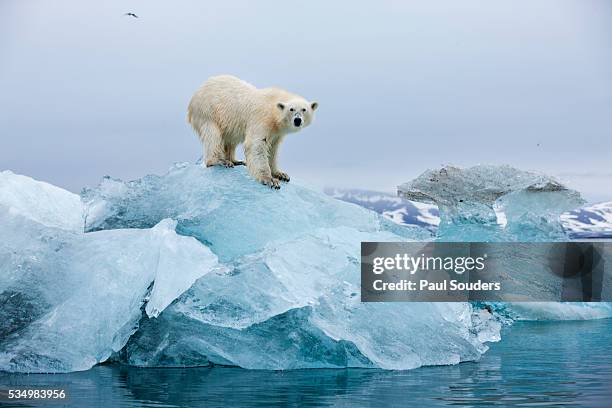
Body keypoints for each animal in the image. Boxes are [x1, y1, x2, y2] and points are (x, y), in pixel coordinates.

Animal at [189, 75, 318, 190]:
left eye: (304, 109)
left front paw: (281, 174)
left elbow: (273, 149)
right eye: (291, 109)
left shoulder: (277, 132)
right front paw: (270, 180)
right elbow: (257, 145)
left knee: (230, 139)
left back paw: (236, 161)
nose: (297, 120)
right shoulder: (262, 119)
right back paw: (220, 161)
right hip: (208, 111)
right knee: (212, 134)